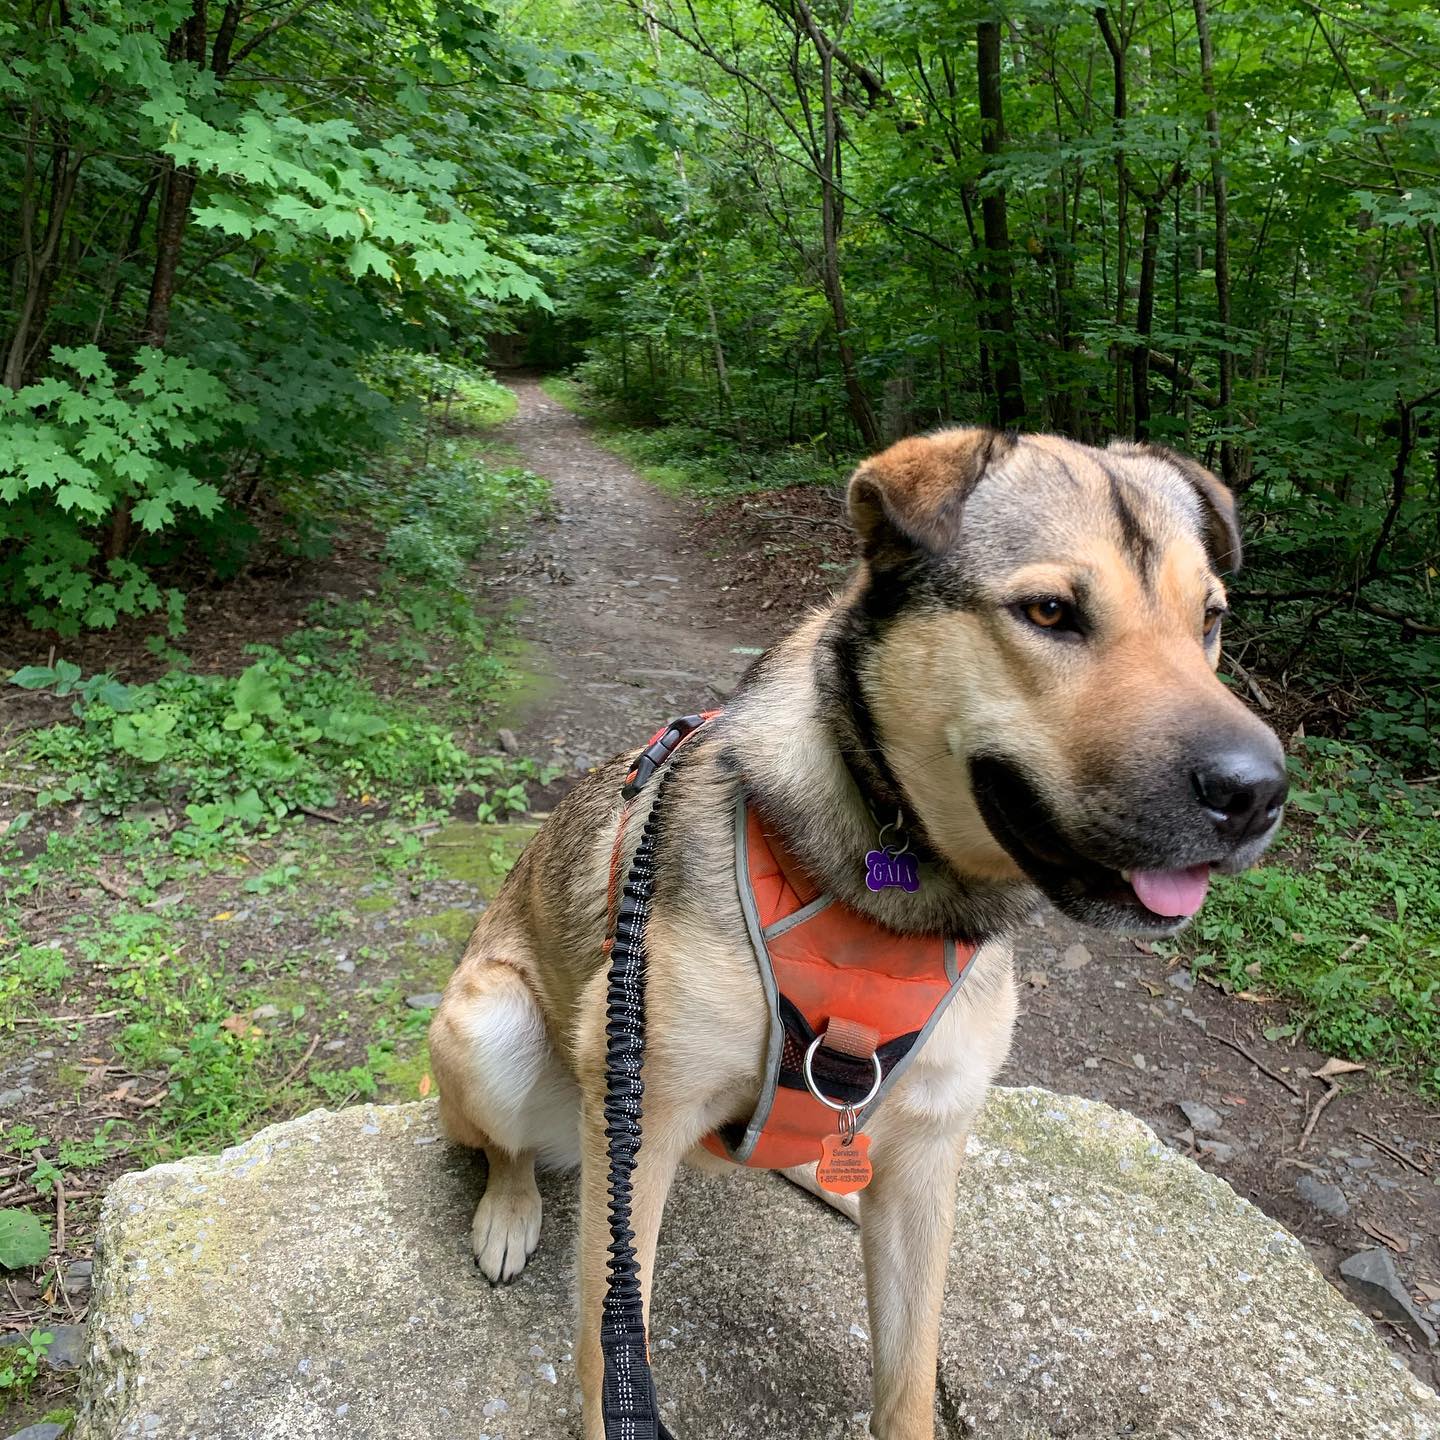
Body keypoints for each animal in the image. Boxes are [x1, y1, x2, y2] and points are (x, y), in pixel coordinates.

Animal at [428, 427, 1287, 1439]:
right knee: (508, 1148)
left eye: (1210, 620)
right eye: (1050, 612)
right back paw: (509, 1210)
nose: (1259, 793)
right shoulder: (643, 1123)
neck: (897, 895)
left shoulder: (932, 1146)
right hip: (491, 1028)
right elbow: (612, 1350)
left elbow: (908, 1377)